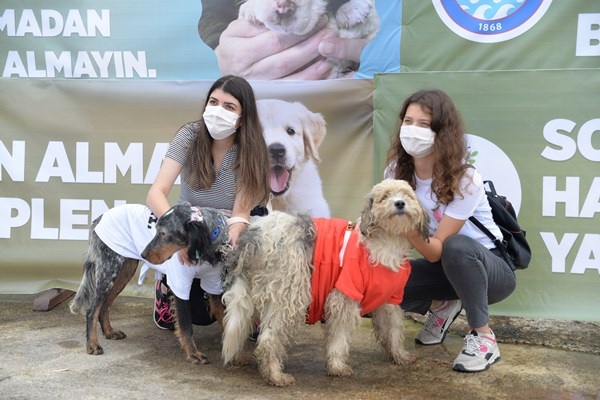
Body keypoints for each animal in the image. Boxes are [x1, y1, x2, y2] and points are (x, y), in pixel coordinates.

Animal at [69, 205, 230, 364]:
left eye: (163, 233)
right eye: (156, 230)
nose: (143, 254)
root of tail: (99, 218)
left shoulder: (213, 286)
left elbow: (224, 317)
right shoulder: (180, 285)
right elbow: (186, 326)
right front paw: (193, 354)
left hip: (124, 271)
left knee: (104, 306)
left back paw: (109, 332)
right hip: (109, 271)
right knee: (92, 310)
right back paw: (92, 344)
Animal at [223, 180, 428, 386]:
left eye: (407, 195)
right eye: (385, 197)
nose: (400, 203)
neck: (386, 241)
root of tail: (254, 234)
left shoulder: (390, 300)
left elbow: (394, 329)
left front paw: (399, 355)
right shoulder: (344, 296)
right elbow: (339, 338)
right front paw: (337, 367)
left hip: (252, 293)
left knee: (241, 325)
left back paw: (239, 358)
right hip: (289, 295)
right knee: (268, 339)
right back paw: (275, 376)